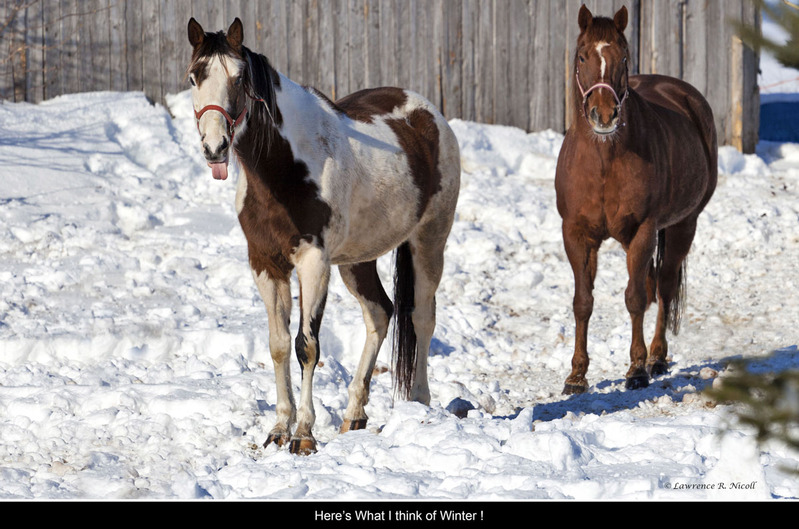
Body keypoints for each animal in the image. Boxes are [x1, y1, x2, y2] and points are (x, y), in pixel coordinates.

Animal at [186, 18, 460, 454]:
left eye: (240, 77)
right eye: (194, 77)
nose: (215, 147)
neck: (284, 167)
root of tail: (429, 114)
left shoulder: (313, 263)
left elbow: (307, 346)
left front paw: (304, 434)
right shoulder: (265, 264)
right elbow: (279, 344)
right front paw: (279, 428)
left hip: (429, 242)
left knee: (421, 316)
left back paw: (419, 402)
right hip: (357, 261)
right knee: (380, 313)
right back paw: (354, 414)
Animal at [555, 5, 717, 394]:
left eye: (624, 57)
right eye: (582, 55)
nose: (604, 115)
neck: (603, 163)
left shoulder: (644, 230)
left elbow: (635, 299)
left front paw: (637, 370)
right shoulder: (576, 235)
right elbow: (583, 302)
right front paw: (576, 376)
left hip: (682, 226)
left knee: (665, 286)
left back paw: (657, 357)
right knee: (652, 283)